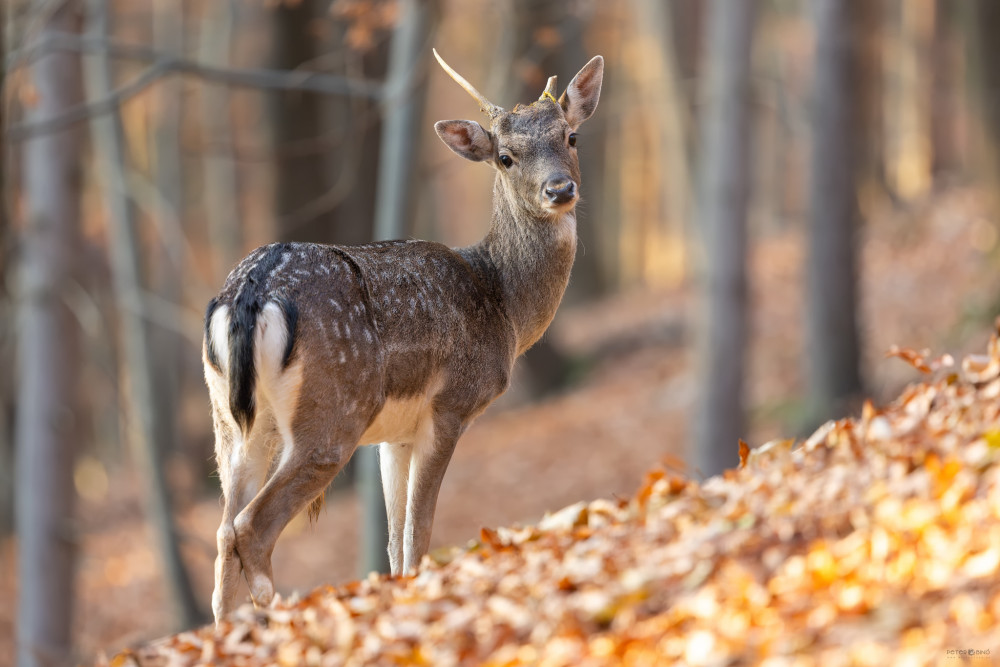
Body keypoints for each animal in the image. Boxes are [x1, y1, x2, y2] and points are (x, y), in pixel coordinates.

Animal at [201, 49, 600, 624]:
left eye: (571, 136)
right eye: (505, 156)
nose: (560, 189)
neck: (504, 306)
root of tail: (252, 290)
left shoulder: (394, 435)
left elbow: (392, 542)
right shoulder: (451, 404)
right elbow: (418, 532)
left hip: (232, 425)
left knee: (220, 541)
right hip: (334, 413)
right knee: (249, 527)